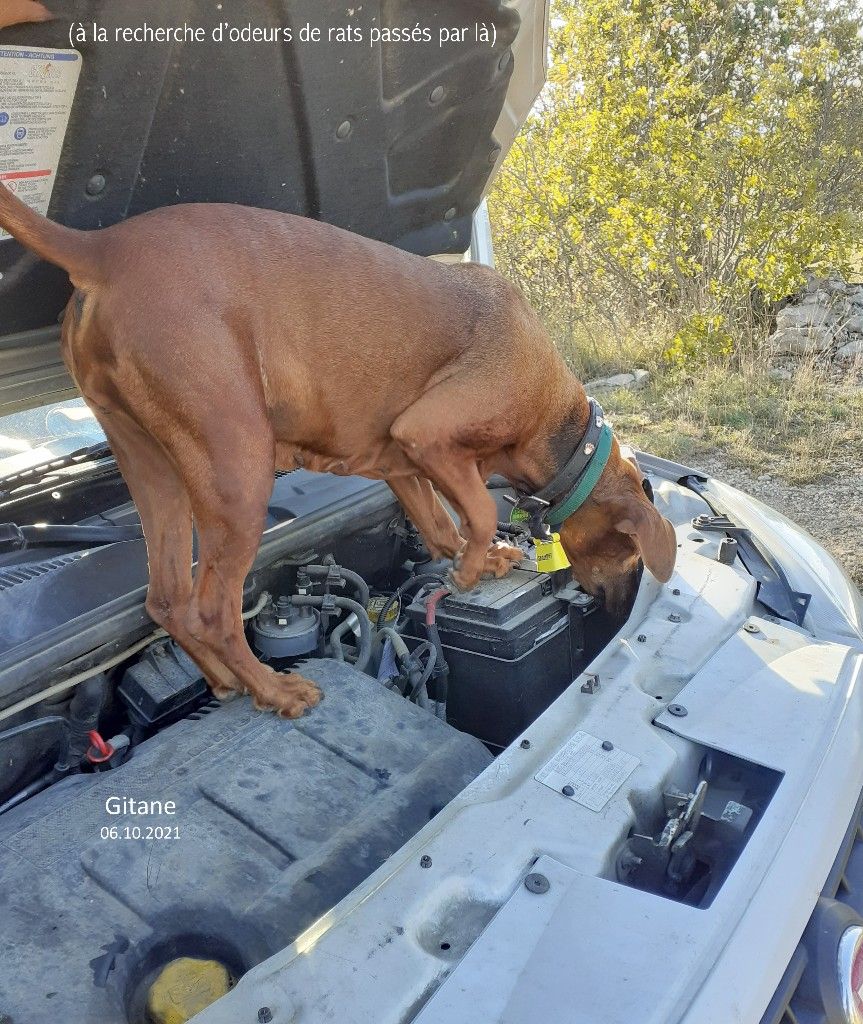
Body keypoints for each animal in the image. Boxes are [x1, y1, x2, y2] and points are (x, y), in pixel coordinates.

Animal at [0, 185, 676, 717]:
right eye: (629, 554)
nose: (619, 610)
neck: (561, 429)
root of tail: (104, 249)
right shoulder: (428, 433)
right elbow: (481, 513)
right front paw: (468, 569)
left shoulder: (401, 461)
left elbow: (440, 526)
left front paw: (477, 563)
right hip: (237, 468)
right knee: (212, 610)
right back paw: (273, 690)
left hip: (152, 468)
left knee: (166, 600)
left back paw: (225, 682)